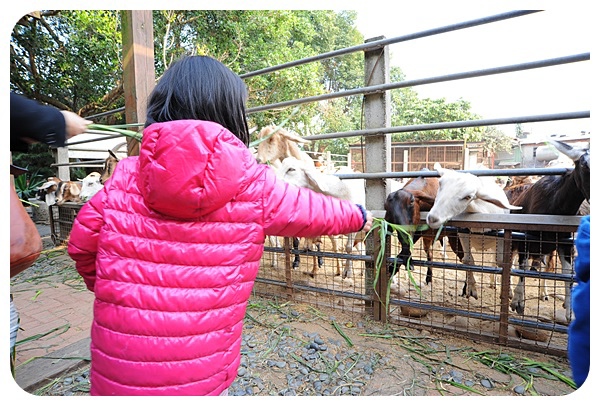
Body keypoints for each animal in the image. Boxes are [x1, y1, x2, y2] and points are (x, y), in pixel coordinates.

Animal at [426, 163, 520, 300]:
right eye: (440, 184)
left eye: (468, 197)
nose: (432, 218)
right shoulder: (463, 234)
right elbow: (468, 260)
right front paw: (471, 289)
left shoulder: (502, 237)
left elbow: (502, 262)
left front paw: (508, 291)